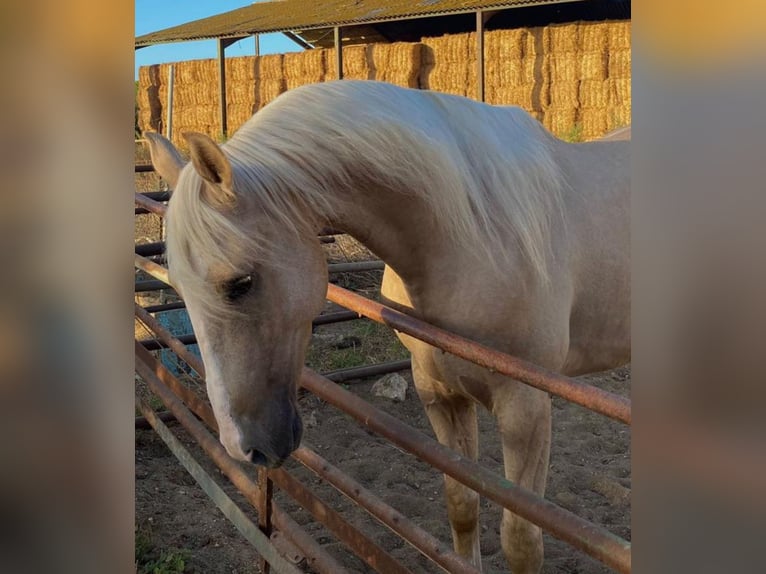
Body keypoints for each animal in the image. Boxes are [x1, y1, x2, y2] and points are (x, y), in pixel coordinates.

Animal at [146, 81, 632, 574]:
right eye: (180, 288)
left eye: (240, 283)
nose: (243, 447)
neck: (476, 233)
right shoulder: (439, 391)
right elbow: (462, 505)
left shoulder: (526, 407)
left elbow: (521, 541)